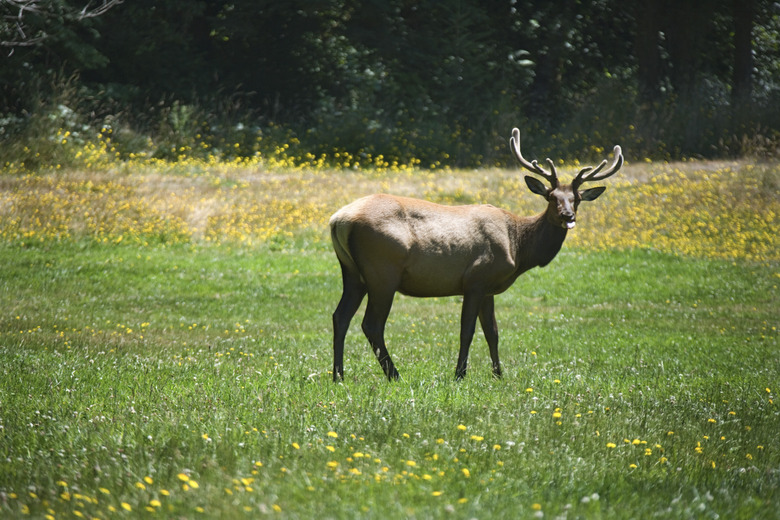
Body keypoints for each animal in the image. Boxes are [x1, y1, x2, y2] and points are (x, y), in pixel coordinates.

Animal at [328, 128, 620, 380]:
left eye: (576, 199)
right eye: (551, 197)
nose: (567, 216)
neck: (518, 246)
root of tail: (338, 219)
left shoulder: (489, 288)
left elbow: (493, 332)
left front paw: (498, 375)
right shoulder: (476, 279)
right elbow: (467, 331)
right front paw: (460, 374)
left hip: (352, 272)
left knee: (340, 316)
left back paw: (338, 376)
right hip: (382, 272)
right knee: (371, 324)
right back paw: (394, 375)